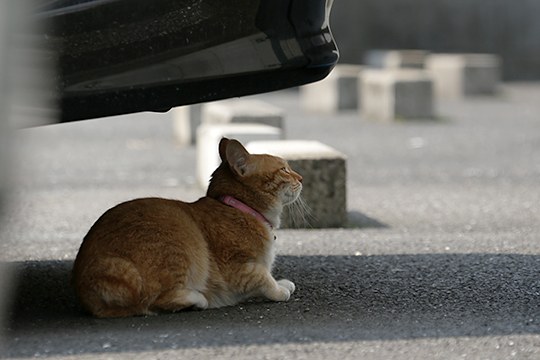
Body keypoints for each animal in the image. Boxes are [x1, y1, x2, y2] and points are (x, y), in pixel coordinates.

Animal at [70, 136, 304, 316]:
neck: (241, 208)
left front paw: (283, 283)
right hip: (180, 249)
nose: (301, 178)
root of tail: (86, 293)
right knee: (155, 302)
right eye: (284, 169)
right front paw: (279, 290)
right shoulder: (238, 269)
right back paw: (197, 299)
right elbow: (263, 279)